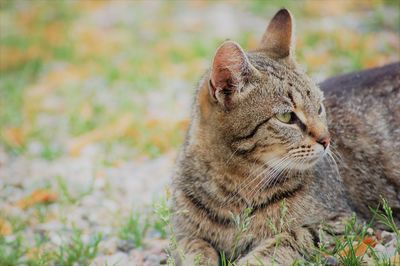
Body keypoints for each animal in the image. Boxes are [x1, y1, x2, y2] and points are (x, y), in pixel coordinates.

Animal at [172, 8, 400, 266]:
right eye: (286, 116)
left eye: (319, 108)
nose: (326, 139)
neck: (234, 191)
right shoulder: (183, 236)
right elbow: (195, 248)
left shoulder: (348, 222)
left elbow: (290, 238)